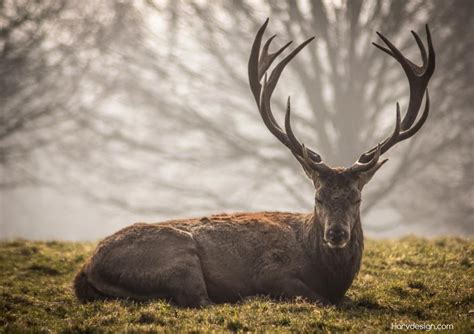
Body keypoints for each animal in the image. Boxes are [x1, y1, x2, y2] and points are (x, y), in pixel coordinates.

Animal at [73, 18, 434, 308]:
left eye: (357, 198)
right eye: (318, 197)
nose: (336, 233)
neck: (329, 275)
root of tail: (87, 268)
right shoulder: (271, 271)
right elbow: (318, 298)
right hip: (180, 258)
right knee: (199, 301)